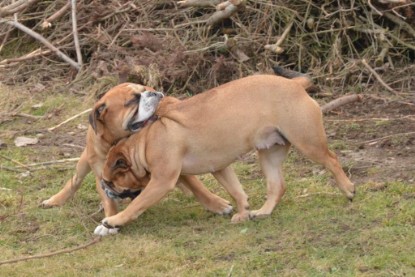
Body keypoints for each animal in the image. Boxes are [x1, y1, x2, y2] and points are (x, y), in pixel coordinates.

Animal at [40, 82, 232, 233]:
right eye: (132, 100)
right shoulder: (102, 174)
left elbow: (197, 186)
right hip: (84, 161)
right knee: (75, 180)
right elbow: (110, 201)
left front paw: (218, 204)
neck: (119, 141)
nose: (154, 93)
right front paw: (109, 222)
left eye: (145, 90)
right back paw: (55, 200)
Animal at [100, 72, 354, 230]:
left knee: (332, 160)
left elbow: (137, 204)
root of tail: (295, 84)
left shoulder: (161, 181)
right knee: (277, 186)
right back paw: (263, 212)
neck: (143, 141)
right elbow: (236, 191)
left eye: (111, 181)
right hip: (269, 154)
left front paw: (114, 220)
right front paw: (243, 212)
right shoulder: (220, 168)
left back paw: (348, 189)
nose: (105, 188)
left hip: (307, 141)